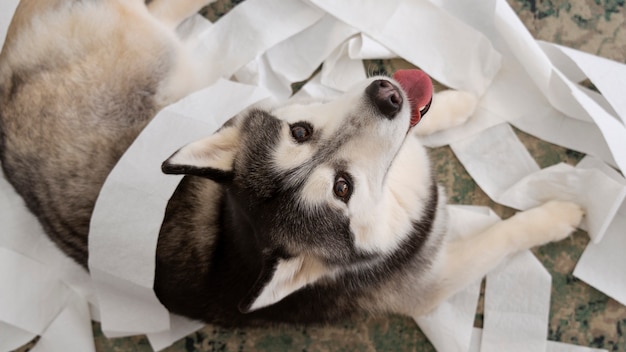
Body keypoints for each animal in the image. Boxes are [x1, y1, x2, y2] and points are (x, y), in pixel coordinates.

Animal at [0, 0, 580, 328]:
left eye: (300, 132)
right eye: (342, 188)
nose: (388, 95)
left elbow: (417, 130)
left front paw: (455, 105)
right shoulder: (429, 284)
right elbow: (501, 236)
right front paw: (558, 215)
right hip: (155, 51)